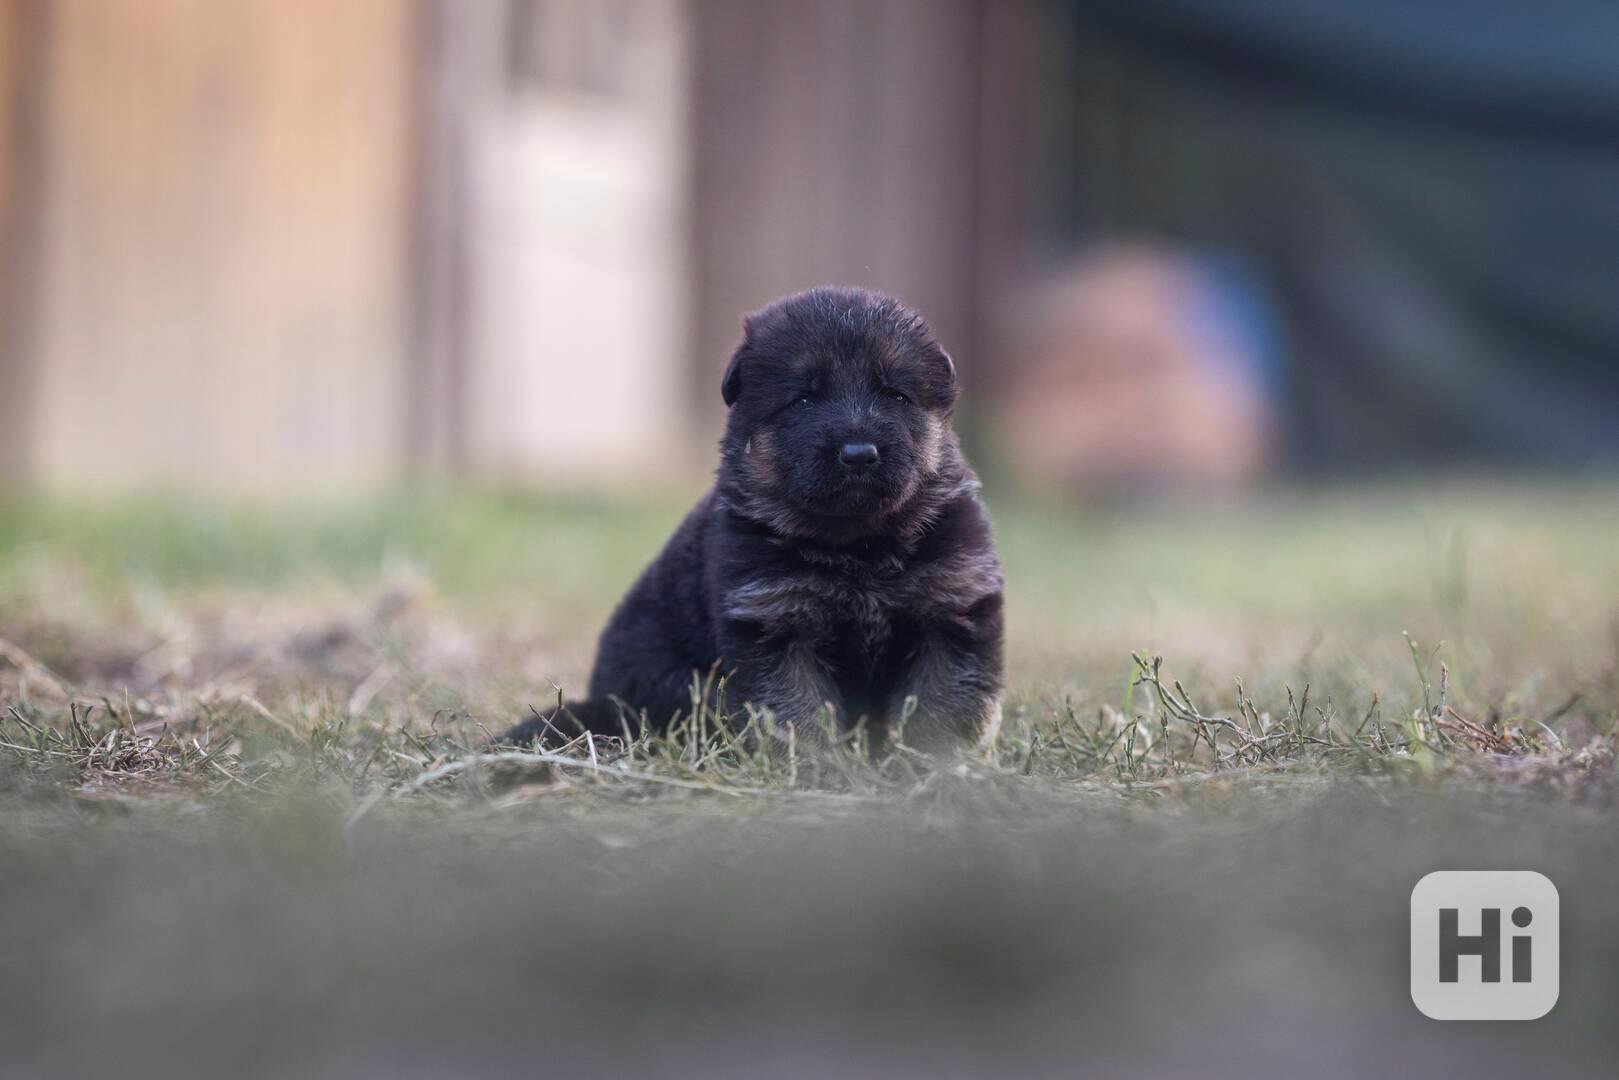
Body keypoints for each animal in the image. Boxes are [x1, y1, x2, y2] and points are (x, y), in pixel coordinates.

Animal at [505, 283, 1003, 748]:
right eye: (803, 400)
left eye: (895, 395)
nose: (859, 453)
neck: (859, 547)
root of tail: (601, 705)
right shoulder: (774, 622)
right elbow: (795, 711)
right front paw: (817, 767)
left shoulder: (951, 607)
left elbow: (940, 705)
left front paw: (930, 762)